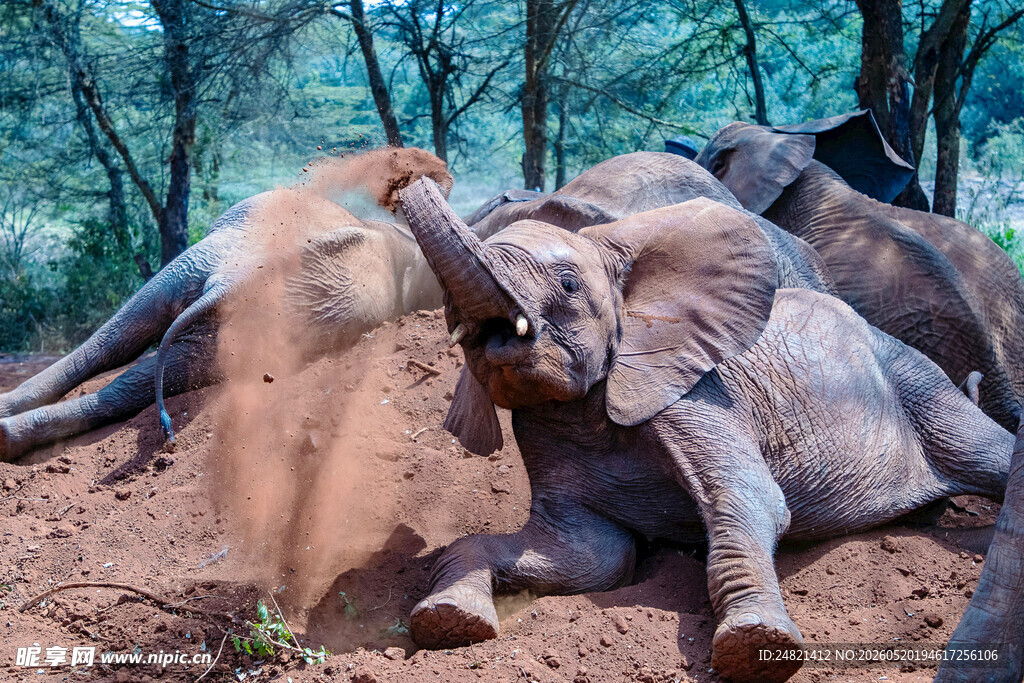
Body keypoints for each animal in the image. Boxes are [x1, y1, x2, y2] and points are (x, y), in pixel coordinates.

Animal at [396, 177, 1014, 683]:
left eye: (568, 285)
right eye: (448, 308)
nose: (407, 177)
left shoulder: (695, 394)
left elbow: (748, 498)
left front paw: (754, 648)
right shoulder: (547, 431)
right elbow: (590, 554)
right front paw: (447, 621)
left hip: (919, 382)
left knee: (988, 454)